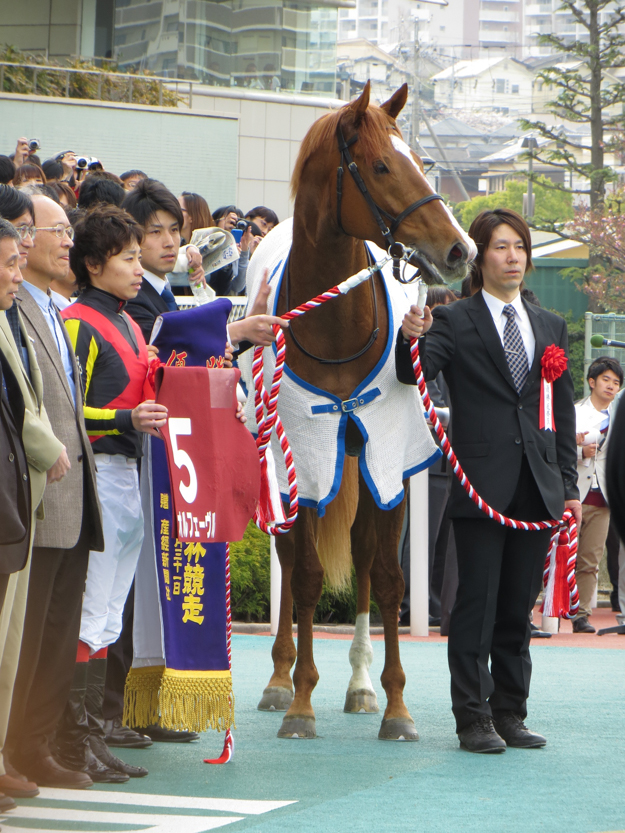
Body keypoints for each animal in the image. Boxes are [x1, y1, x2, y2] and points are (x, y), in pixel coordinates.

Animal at [254, 81, 472, 736]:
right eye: (380, 166)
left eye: (420, 161)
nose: (460, 250)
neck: (334, 328)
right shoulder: (305, 458)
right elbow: (303, 576)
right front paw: (300, 701)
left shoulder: (387, 455)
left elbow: (390, 578)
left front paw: (395, 705)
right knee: (289, 556)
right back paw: (280, 677)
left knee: (364, 556)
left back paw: (360, 683)